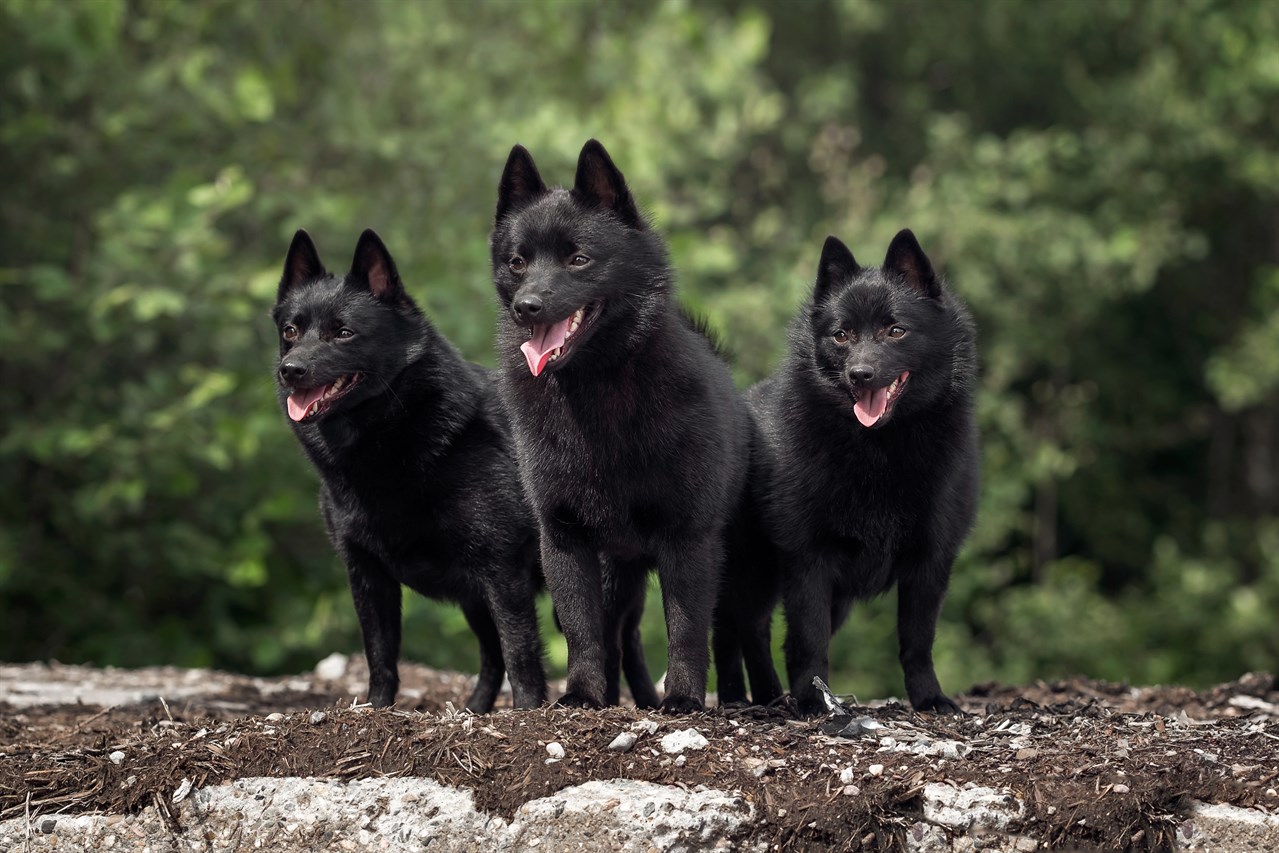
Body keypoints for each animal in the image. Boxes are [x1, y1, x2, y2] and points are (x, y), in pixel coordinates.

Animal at [272, 228, 547, 716]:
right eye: (291, 331)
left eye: (343, 333)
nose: (291, 371)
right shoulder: (367, 575)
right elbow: (380, 654)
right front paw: (377, 710)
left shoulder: (503, 571)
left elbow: (521, 650)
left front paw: (529, 713)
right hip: (475, 599)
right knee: (490, 656)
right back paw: (474, 710)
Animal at [486, 140, 746, 716]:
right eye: (517, 262)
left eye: (578, 259)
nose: (527, 306)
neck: (595, 391)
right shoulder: (565, 538)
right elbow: (583, 632)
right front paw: (582, 695)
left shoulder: (689, 538)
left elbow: (685, 630)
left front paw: (684, 699)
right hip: (616, 571)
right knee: (616, 634)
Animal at [746, 231, 977, 716]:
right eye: (841, 335)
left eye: (896, 330)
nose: (860, 374)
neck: (878, 451)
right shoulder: (808, 560)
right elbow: (809, 640)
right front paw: (813, 702)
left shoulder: (930, 562)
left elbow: (917, 641)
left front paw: (929, 698)